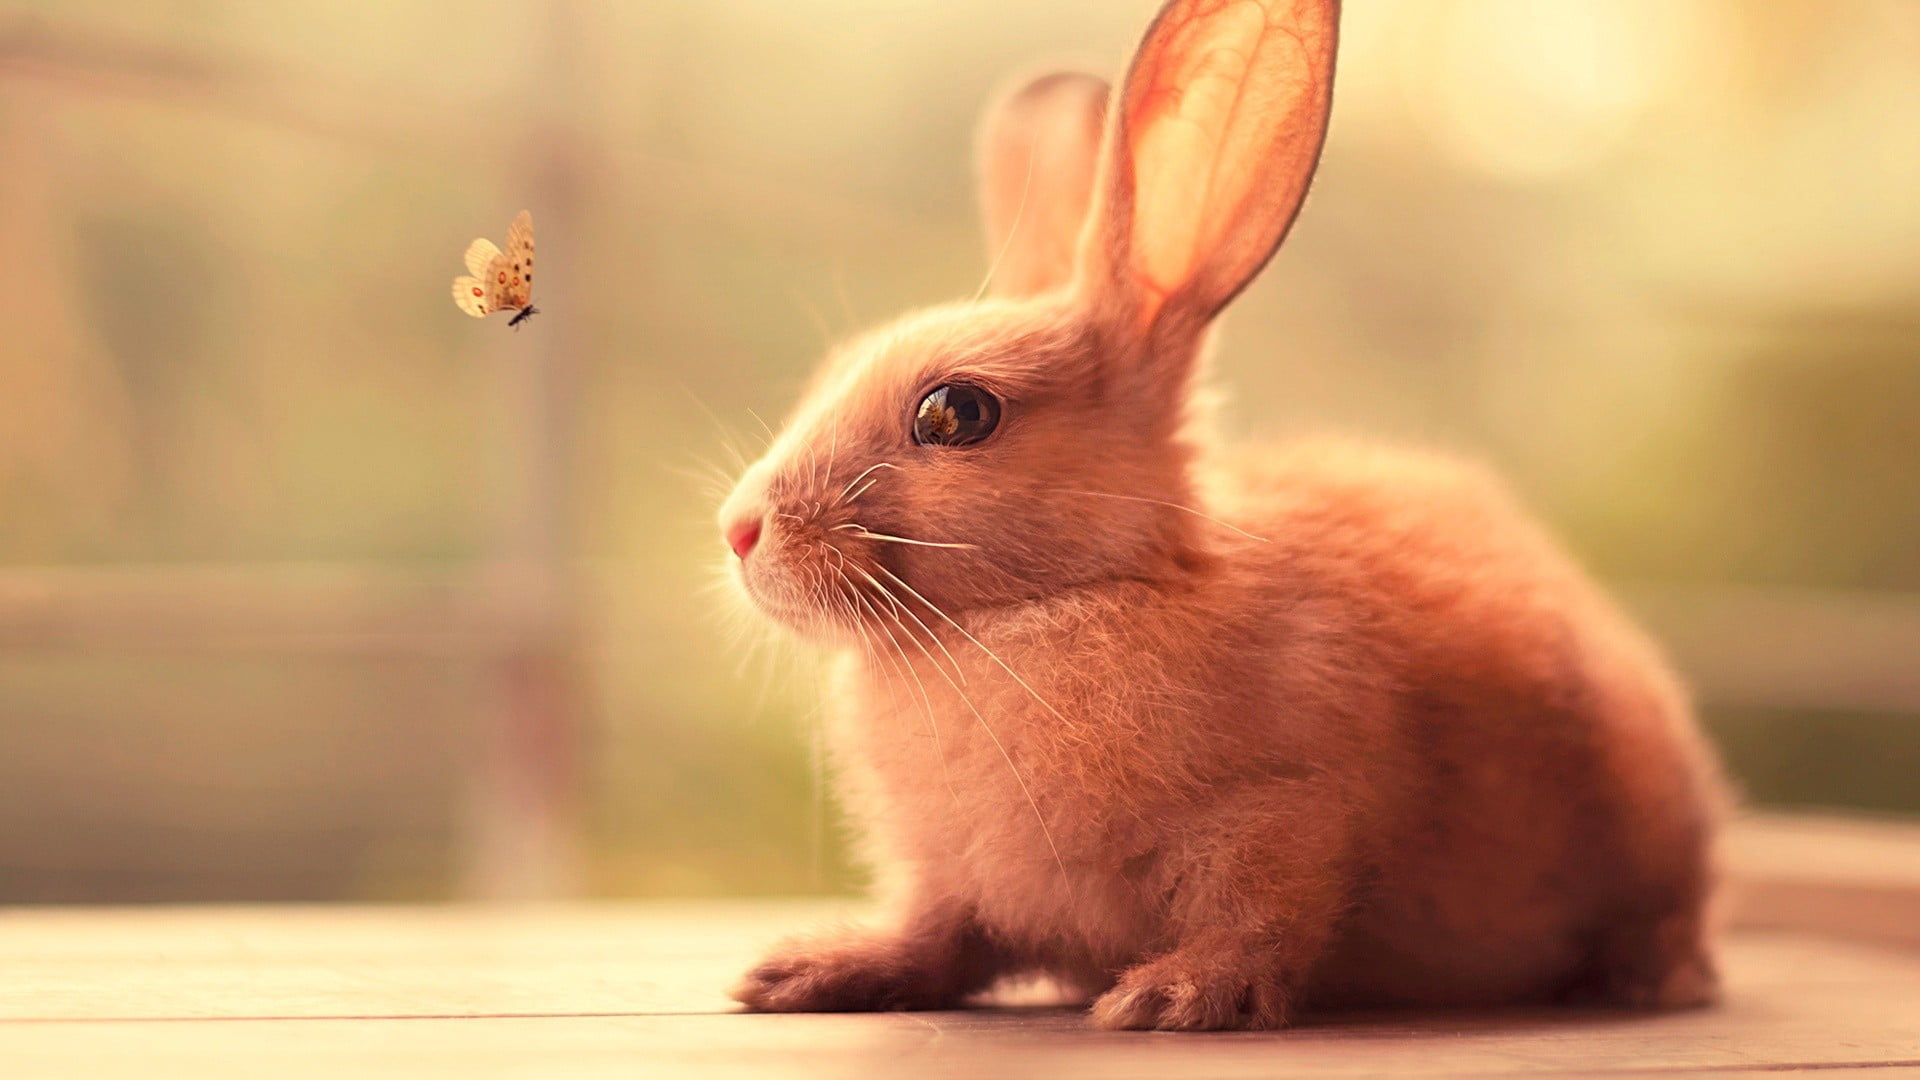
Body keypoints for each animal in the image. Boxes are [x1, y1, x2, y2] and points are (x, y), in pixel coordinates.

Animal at [715, 0, 1725, 1031]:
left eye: (955, 414)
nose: (740, 530)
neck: (1044, 606)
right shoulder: (952, 884)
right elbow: (935, 940)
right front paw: (805, 974)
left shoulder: (1285, 820)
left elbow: (1260, 922)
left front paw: (1169, 996)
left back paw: (1649, 980)